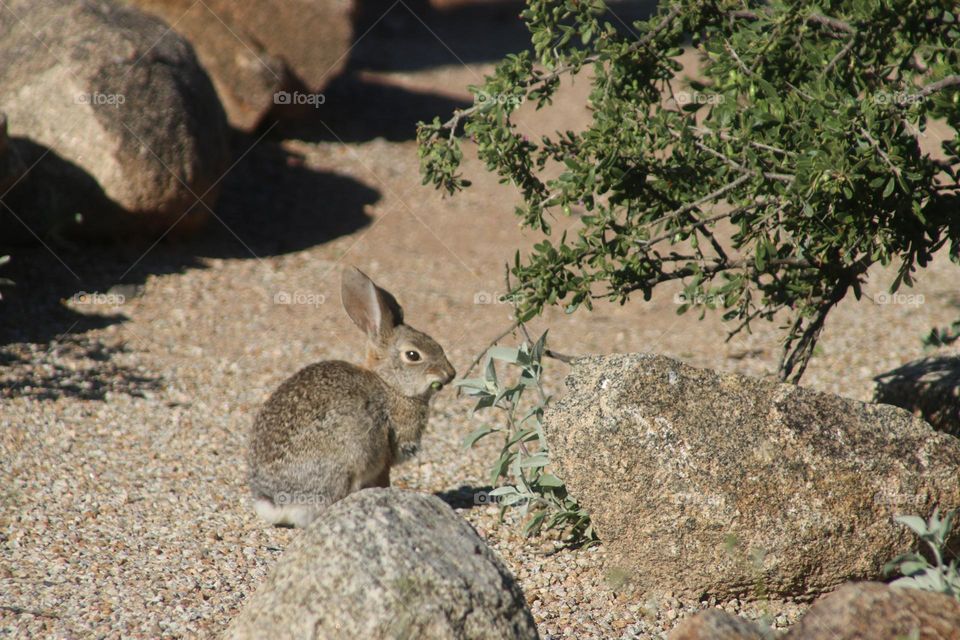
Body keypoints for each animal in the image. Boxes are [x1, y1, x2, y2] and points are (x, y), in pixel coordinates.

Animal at [247, 266, 456, 528]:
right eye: (412, 355)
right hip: (347, 461)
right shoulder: (384, 456)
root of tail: (273, 501)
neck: (390, 386)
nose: (450, 374)